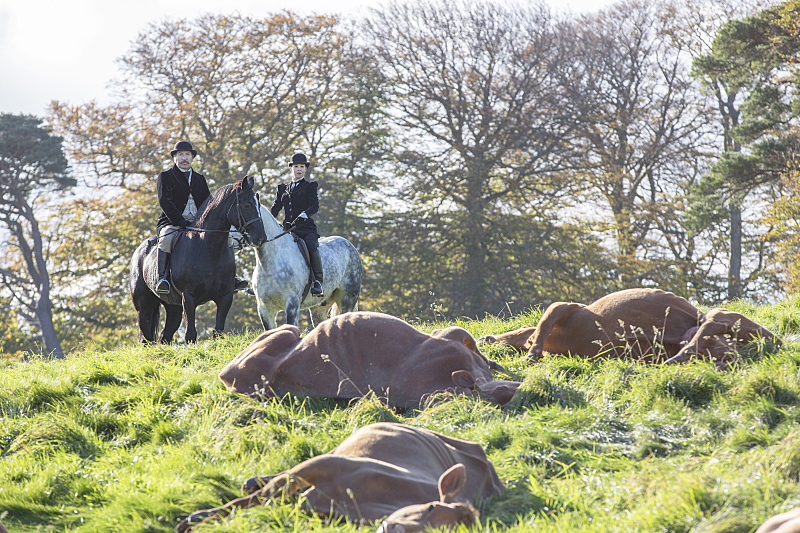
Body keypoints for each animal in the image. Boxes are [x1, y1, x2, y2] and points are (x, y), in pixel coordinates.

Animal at [130, 175, 268, 340]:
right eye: (247, 205)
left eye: (258, 205)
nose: (261, 238)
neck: (210, 249)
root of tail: (139, 251)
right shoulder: (189, 297)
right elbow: (190, 334)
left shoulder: (225, 297)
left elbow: (218, 332)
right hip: (144, 305)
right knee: (147, 336)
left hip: (173, 306)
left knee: (165, 335)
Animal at [177, 422, 504, 528]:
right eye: (432, 506)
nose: (396, 529)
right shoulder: (323, 464)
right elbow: (256, 498)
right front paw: (196, 518)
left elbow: (273, 500)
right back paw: (251, 481)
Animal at [478, 286, 780, 366]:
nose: (485, 338)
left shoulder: (570, 306)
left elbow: (546, 316)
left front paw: (532, 353)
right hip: (721, 338)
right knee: (711, 336)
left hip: (718, 316)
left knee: (715, 320)